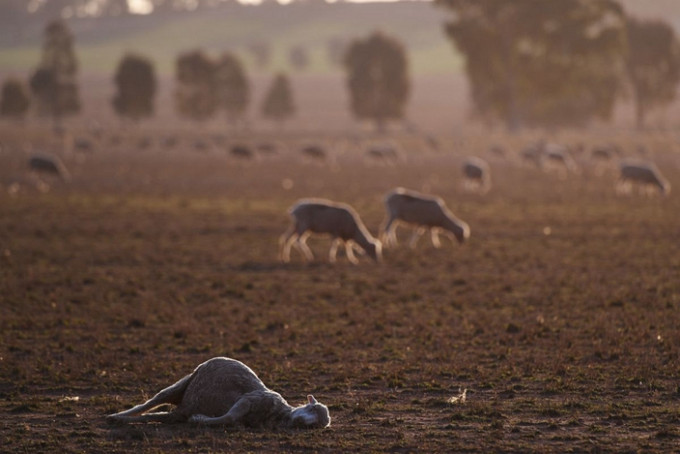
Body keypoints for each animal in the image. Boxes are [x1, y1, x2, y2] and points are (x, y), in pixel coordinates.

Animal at [105, 356, 330, 428]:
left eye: (317, 425)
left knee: (157, 415)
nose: (301, 422)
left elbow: (230, 420)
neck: (279, 414)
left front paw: (199, 419)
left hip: (177, 411)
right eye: (312, 408)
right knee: (151, 402)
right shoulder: (249, 399)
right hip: (183, 383)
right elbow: (229, 417)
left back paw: (120, 420)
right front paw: (201, 419)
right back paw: (116, 416)